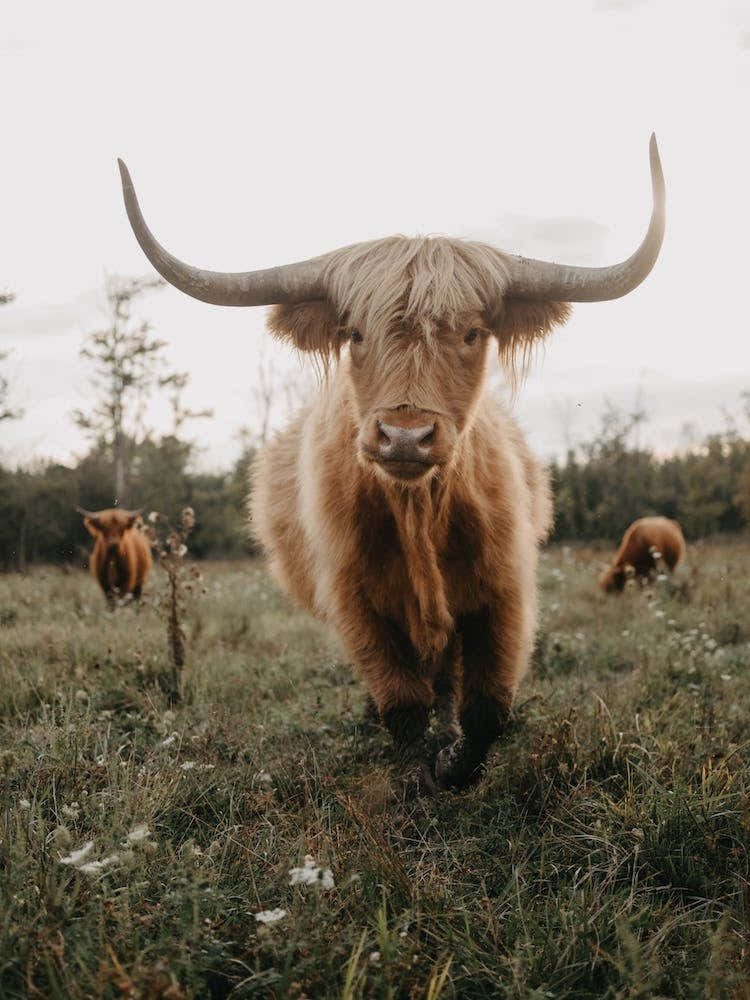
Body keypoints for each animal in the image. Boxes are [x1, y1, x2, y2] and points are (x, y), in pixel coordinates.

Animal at [118, 135, 665, 794]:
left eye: (473, 333)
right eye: (354, 333)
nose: (406, 436)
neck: (418, 511)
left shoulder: (504, 593)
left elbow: (487, 709)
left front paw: (454, 765)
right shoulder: (355, 601)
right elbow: (402, 705)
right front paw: (418, 775)